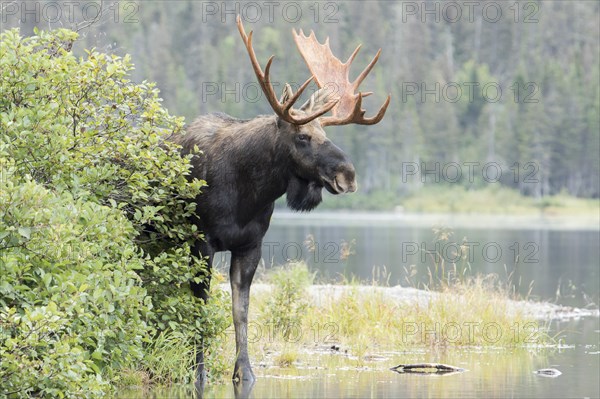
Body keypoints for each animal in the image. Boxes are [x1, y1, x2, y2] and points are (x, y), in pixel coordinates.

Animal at [175, 18, 390, 384]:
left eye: (326, 134)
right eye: (303, 136)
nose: (348, 174)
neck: (246, 194)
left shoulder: (251, 246)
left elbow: (241, 313)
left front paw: (244, 372)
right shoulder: (201, 241)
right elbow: (200, 308)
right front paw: (198, 372)